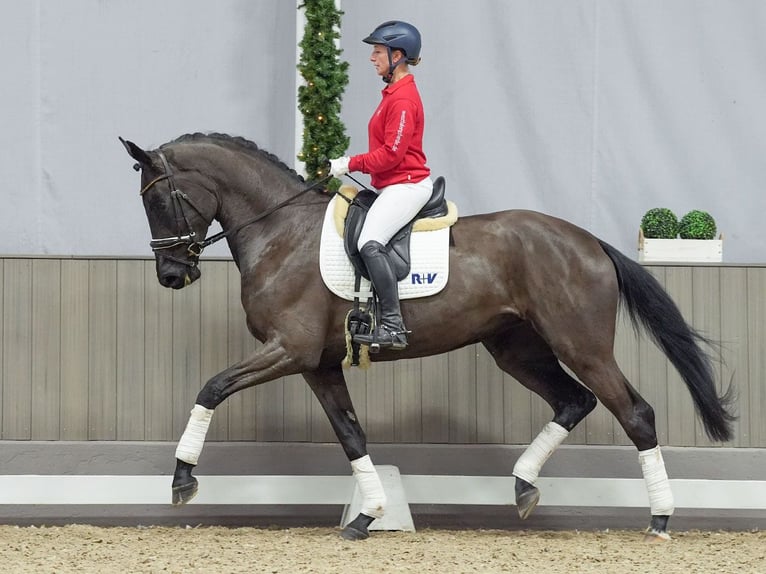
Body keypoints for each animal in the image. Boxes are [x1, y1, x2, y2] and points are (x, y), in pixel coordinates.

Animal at [121, 133, 736, 544]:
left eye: (159, 199)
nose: (171, 275)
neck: (281, 232)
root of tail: (589, 241)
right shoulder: (317, 363)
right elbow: (351, 434)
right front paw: (367, 516)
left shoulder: (288, 350)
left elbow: (211, 387)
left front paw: (182, 478)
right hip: (515, 348)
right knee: (573, 401)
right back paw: (523, 487)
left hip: (580, 345)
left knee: (635, 413)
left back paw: (660, 518)